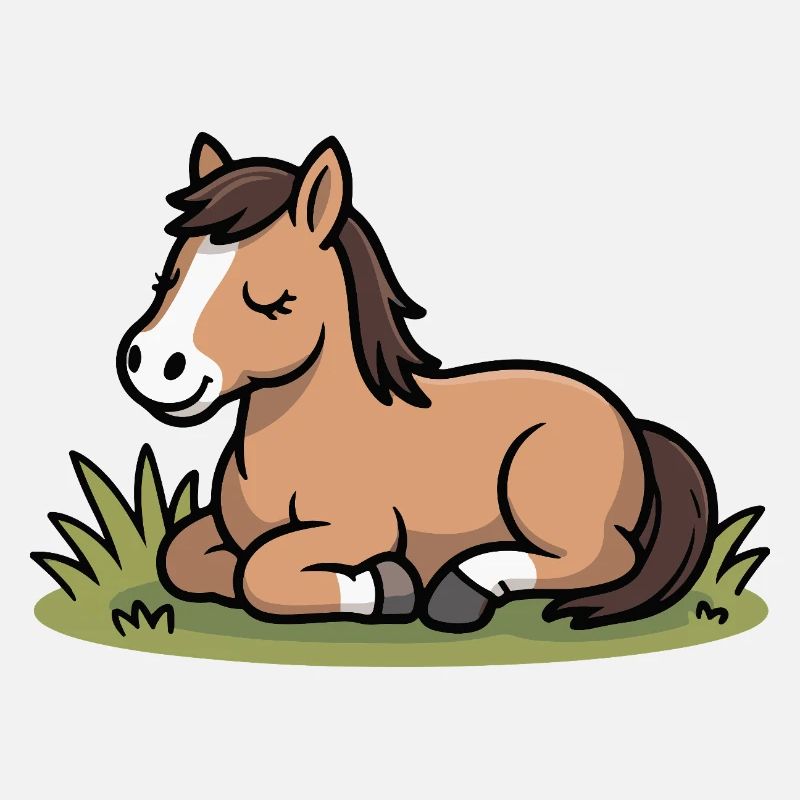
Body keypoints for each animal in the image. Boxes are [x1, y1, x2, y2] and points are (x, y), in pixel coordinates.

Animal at [116, 133, 717, 631]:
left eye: (272, 301)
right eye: (164, 279)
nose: (155, 365)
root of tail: (630, 425)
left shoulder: (358, 529)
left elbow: (260, 571)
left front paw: (390, 585)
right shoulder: (221, 530)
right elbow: (182, 556)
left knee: (605, 557)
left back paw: (461, 589)